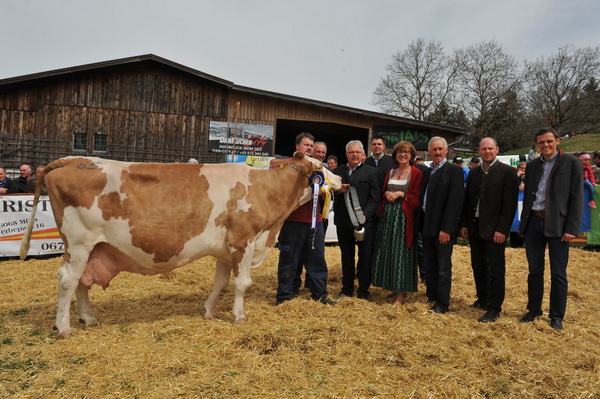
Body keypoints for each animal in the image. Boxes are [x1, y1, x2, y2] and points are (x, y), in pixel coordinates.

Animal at [19, 152, 342, 338]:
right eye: (321, 167)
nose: (340, 179)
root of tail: (72, 159)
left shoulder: (225, 248)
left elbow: (221, 282)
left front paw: (209, 312)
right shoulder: (244, 240)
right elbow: (242, 284)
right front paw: (239, 316)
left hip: (93, 248)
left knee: (82, 283)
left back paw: (88, 318)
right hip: (79, 242)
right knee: (68, 280)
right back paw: (64, 327)